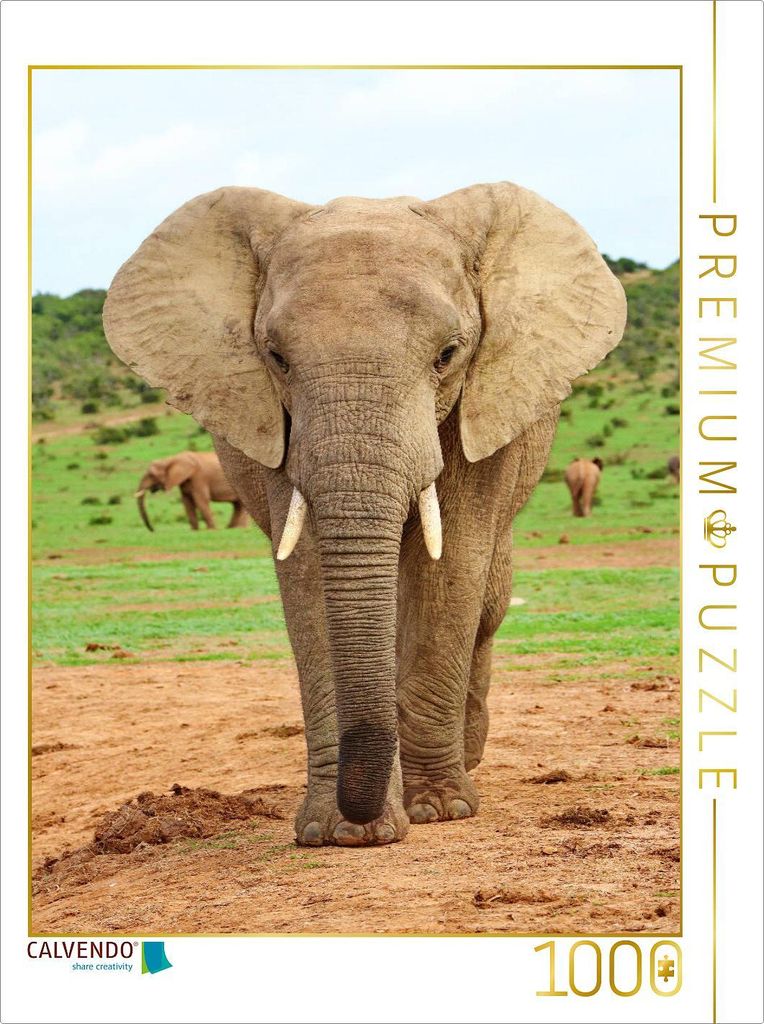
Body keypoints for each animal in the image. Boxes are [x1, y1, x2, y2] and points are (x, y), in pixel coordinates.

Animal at [104, 182, 625, 848]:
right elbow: (306, 575)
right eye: (275, 357)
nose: (362, 812)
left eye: (448, 354)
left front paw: (437, 810)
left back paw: (468, 757)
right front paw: (341, 832)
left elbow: (451, 564)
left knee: (488, 603)